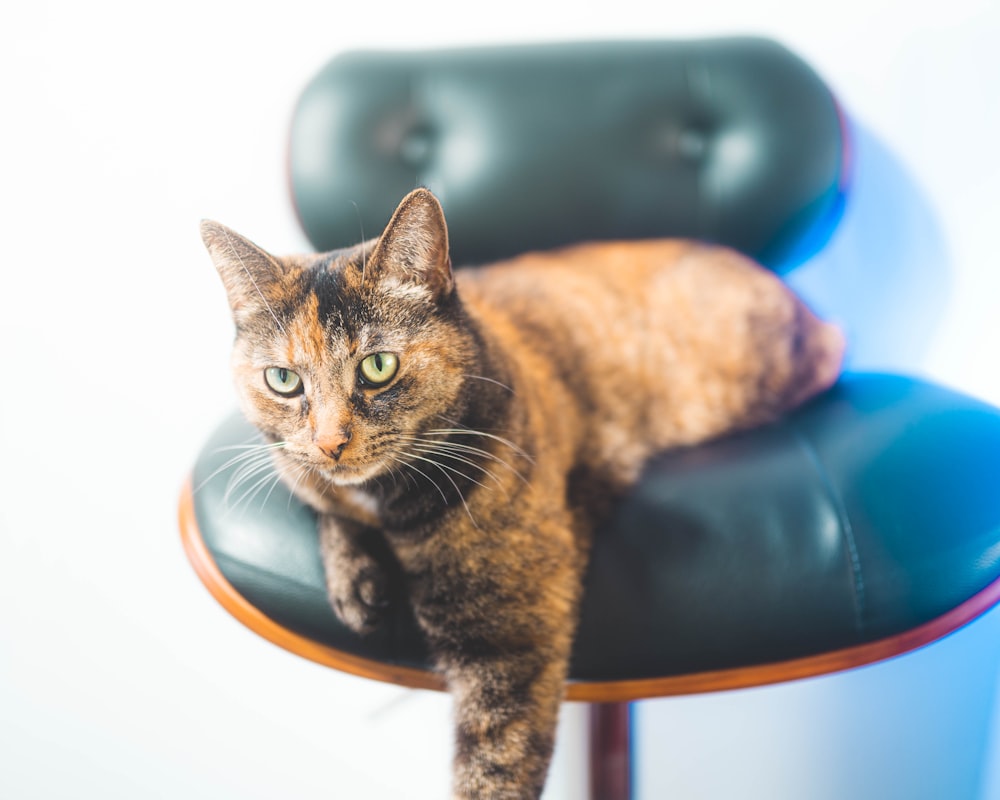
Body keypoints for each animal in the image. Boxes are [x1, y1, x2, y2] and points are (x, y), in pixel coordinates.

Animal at [203, 189, 844, 800]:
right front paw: (355, 582)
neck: (385, 500)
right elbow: (323, 501)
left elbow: (492, 772)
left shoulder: (506, 647)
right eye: (283, 380)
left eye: (378, 366)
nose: (330, 442)